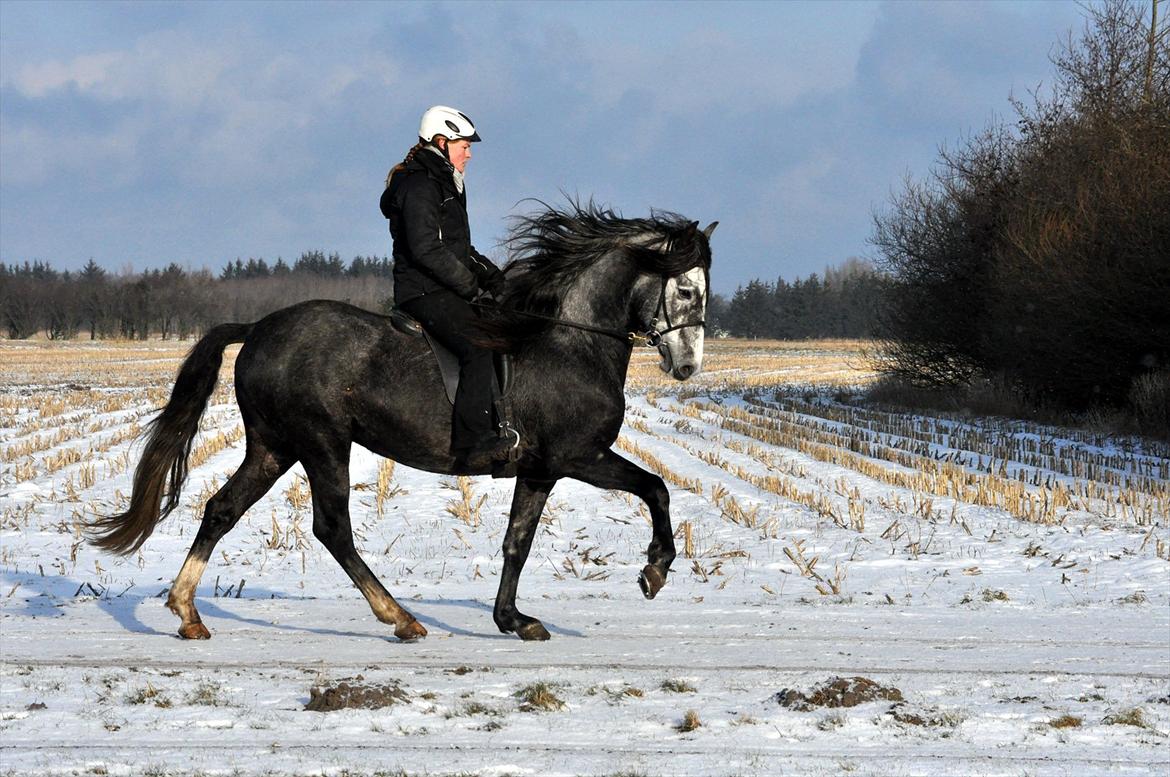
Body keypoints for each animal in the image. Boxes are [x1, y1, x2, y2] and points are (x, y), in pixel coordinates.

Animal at [88, 201, 711, 641]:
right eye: (685, 288)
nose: (687, 366)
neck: (569, 342)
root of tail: (259, 328)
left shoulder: (539, 470)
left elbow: (517, 542)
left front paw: (514, 620)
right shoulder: (578, 457)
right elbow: (656, 488)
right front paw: (655, 570)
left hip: (274, 446)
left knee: (222, 509)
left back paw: (187, 612)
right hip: (322, 443)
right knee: (332, 528)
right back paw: (401, 618)